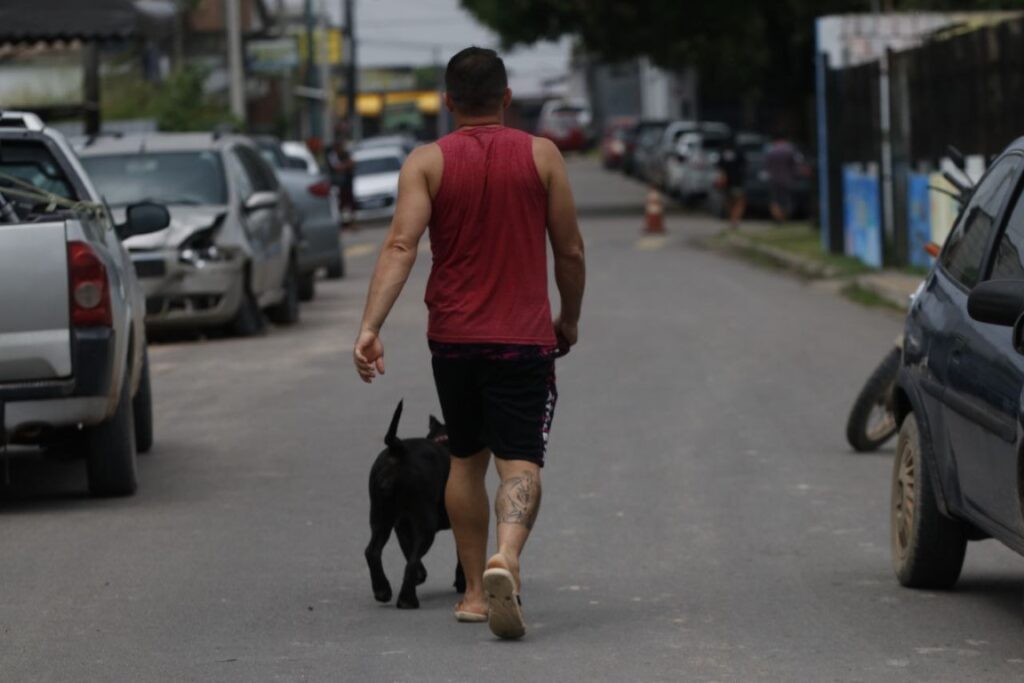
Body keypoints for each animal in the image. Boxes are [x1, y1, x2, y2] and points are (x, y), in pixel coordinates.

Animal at [366, 401, 466, 610]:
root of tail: (397, 450)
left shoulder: (401, 525)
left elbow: (407, 548)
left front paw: (420, 576)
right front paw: (462, 582)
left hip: (381, 517)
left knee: (373, 551)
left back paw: (382, 590)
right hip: (425, 524)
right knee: (410, 560)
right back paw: (407, 599)